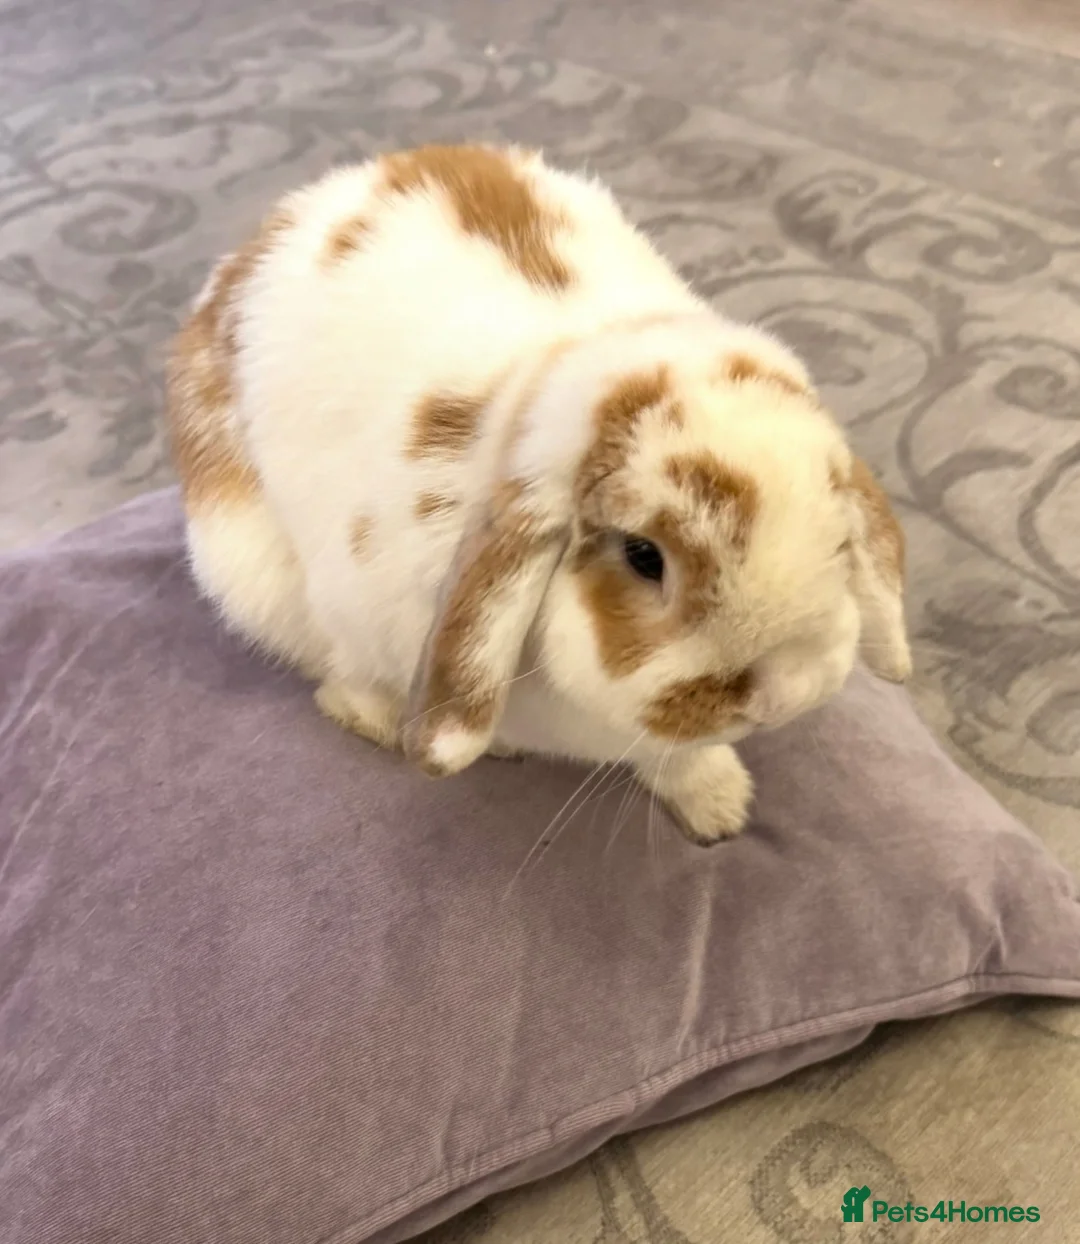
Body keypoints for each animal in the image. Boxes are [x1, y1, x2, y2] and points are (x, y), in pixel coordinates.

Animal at [166, 143, 911, 845]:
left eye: (840, 542)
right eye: (644, 556)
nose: (781, 696)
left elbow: (677, 757)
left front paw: (721, 808)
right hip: (258, 581)